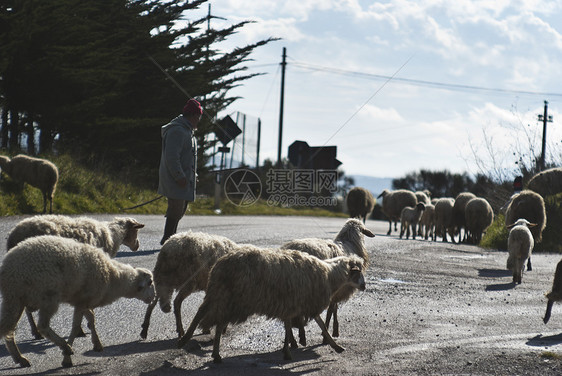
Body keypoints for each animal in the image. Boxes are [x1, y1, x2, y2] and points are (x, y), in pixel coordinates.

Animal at [0, 235, 153, 368]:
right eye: (150, 282)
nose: (153, 297)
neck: (114, 278)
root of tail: (7, 269)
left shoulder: (82, 301)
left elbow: (91, 319)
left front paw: (97, 344)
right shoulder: (82, 301)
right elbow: (75, 328)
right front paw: (67, 358)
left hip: (15, 298)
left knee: (9, 329)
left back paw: (19, 358)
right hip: (47, 296)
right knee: (42, 326)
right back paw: (64, 346)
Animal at [6, 214, 144, 340]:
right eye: (136, 231)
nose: (137, 246)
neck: (113, 236)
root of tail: (13, 236)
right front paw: (82, 329)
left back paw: (34, 331)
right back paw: (36, 331)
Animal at [177, 248, 366, 362]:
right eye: (358, 274)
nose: (364, 287)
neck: (329, 274)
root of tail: (219, 264)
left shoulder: (293, 304)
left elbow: (289, 326)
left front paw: (287, 350)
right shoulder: (308, 303)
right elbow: (322, 326)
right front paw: (336, 346)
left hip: (223, 295)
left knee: (211, 317)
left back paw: (208, 350)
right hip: (229, 297)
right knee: (208, 316)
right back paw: (190, 341)